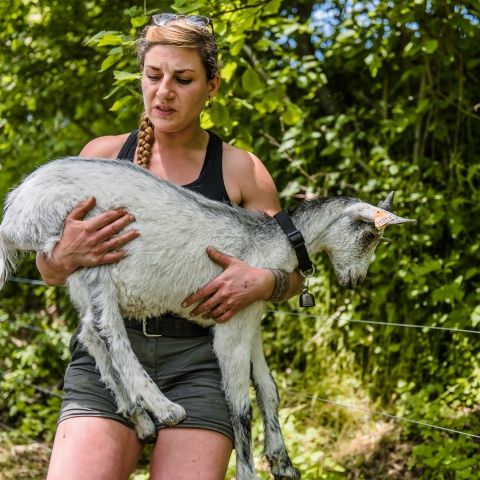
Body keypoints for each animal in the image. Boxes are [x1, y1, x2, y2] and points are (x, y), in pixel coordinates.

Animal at [0, 159, 412, 480]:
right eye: (369, 236)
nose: (355, 280)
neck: (277, 241)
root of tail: (14, 211)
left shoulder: (250, 318)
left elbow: (269, 388)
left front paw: (282, 463)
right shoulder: (230, 327)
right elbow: (241, 407)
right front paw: (248, 472)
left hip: (80, 270)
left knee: (89, 331)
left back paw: (138, 415)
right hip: (87, 243)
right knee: (109, 332)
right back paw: (162, 407)